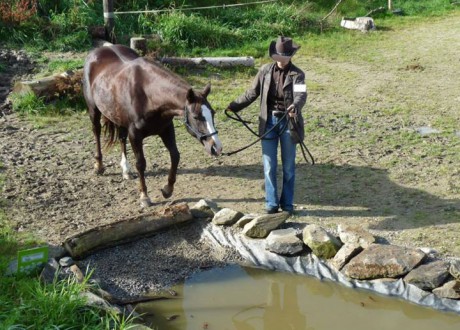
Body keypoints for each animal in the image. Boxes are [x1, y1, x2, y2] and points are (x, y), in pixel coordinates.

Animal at [82, 45, 223, 208]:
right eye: (195, 117)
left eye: (213, 113)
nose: (216, 147)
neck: (148, 96)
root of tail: (99, 50)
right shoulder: (135, 134)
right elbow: (141, 163)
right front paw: (144, 196)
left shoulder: (166, 129)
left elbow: (175, 156)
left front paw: (167, 189)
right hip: (94, 110)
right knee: (97, 132)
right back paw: (99, 166)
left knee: (122, 138)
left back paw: (125, 170)